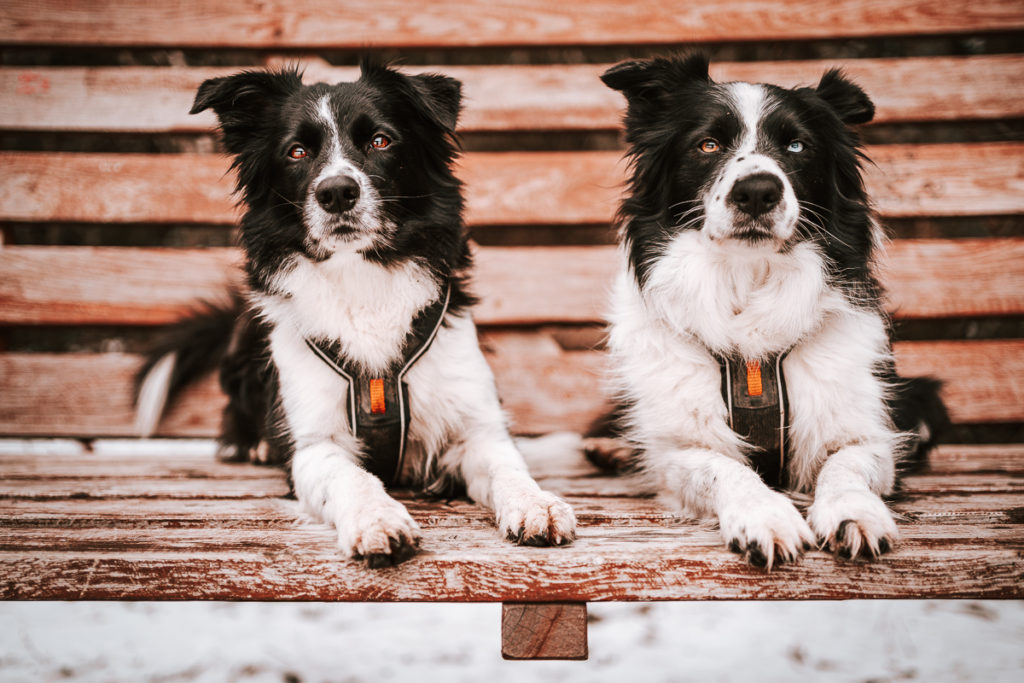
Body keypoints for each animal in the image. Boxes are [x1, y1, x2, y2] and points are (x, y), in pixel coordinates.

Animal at [138, 61, 577, 569]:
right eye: (297, 151)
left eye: (380, 141)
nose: (336, 192)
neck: (362, 275)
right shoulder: (313, 445)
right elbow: (352, 478)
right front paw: (377, 519)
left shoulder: (475, 425)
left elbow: (508, 467)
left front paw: (536, 502)